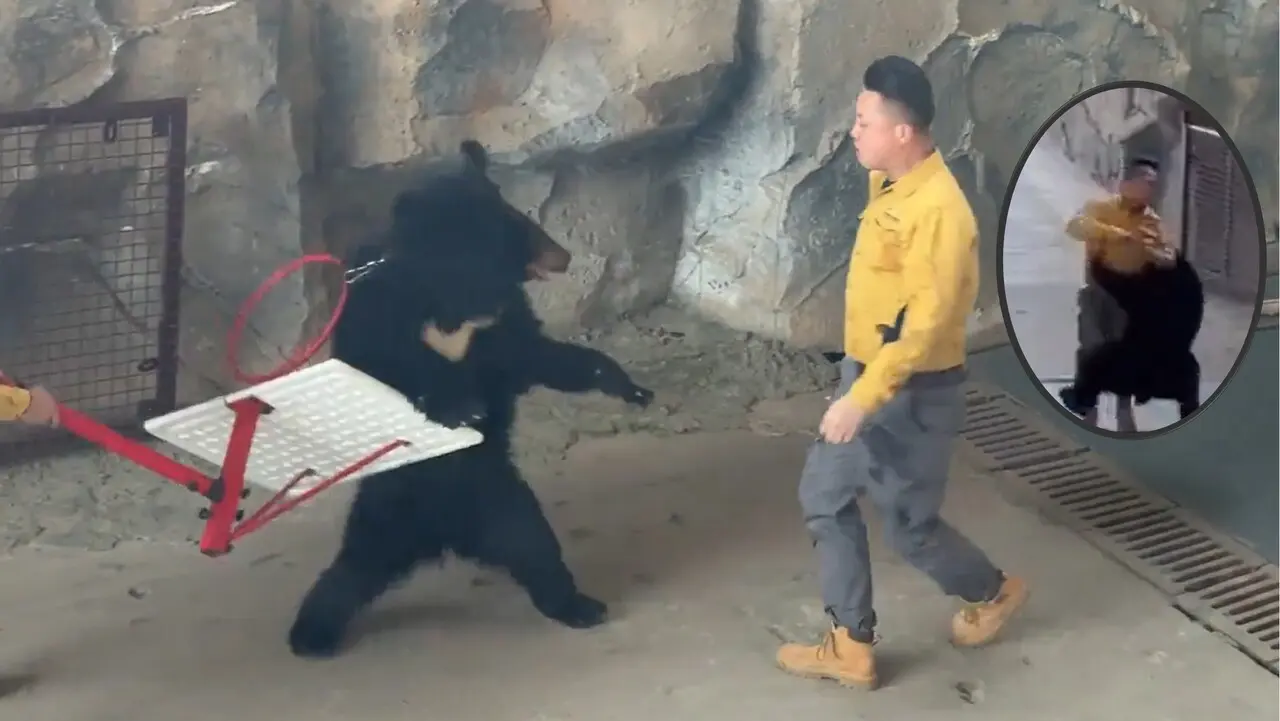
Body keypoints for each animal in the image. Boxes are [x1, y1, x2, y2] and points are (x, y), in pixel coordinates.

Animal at [287, 141, 654, 658]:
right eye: (518, 228)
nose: (563, 255)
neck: (455, 294)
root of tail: (443, 534)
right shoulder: (381, 308)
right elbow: (382, 367)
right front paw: (457, 406)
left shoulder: (502, 322)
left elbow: (537, 356)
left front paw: (629, 386)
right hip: (387, 512)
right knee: (349, 572)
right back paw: (309, 635)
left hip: (499, 502)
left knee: (534, 548)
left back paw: (579, 606)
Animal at [1059, 253, 1205, 423]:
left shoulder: (1147, 290)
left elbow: (1121, 285)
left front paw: (1097, 260)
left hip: (1120, 367)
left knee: (1093, 368)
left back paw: (1074, 398)